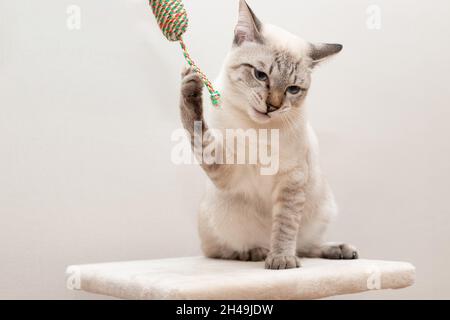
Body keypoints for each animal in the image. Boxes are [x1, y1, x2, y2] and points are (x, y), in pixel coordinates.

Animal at [179, 0, 358, 270]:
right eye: (260, 75)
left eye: (292, 89)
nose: (272, 106)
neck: (259, 130)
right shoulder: (226, 171)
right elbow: (197, 128)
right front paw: (190, 90)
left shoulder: (292, 180)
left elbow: (285, 226)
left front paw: (282, 259)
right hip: (219, 215)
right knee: (222, 250)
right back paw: (255, 251)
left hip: (323, 209)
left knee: (305, 247)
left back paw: (338, 250)